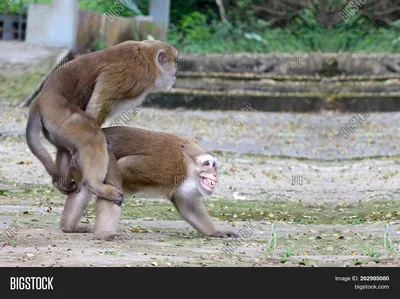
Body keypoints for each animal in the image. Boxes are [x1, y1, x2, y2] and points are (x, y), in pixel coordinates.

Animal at [25, 39, 179, 204]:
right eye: (175, 61)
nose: (176, 72)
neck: (148, 57)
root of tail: (39, 100)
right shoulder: (132, 74)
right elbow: (97, 104)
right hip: (60, 116)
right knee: (93, 137)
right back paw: (96, 186)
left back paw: (62, 182)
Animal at [60, 126, 238, 239]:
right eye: (207, 164)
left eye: (214, 166)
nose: (214, 175)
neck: (187, 164)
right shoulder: (169, 168)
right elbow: (124, 166)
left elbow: (187, 206)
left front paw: (216, 232)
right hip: (100, 156)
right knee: (111, 181)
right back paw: (105, 234)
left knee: (84, 187)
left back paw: (68, 228)